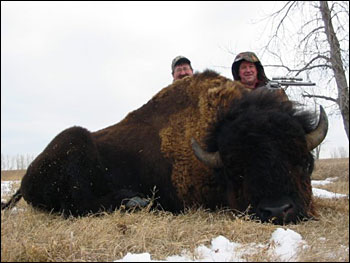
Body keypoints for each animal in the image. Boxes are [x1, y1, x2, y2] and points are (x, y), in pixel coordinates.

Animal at [1, 70, 326, 225]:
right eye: (236, 171)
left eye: (304, 162)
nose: (277, 211)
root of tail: (27, 177)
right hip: (74, 140)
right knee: (81, 203)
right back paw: (136, 202)